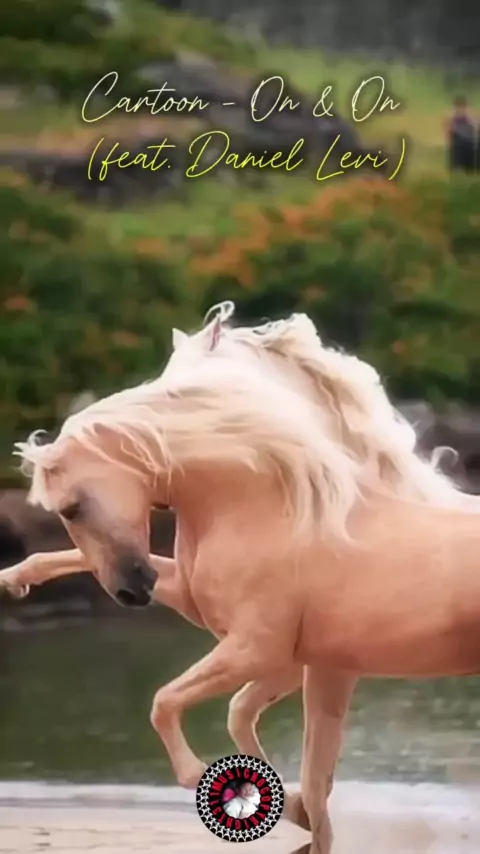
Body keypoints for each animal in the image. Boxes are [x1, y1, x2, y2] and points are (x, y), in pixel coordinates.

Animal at [3, 303, 480, 853]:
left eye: (71, 508)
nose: (130, 591)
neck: (278, 508)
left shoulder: (261, 650)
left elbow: (170, 705)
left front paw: (262, 798)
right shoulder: (301, 662)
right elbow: (288, 756)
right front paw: (15, 577)